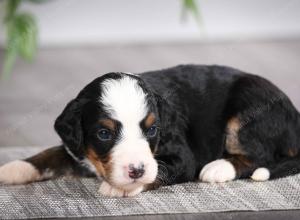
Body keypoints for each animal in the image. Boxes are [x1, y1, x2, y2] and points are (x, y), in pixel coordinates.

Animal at [0, 64, 300, 197]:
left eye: (152, 129)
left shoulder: (183, 157)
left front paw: (123, 187)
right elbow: (48, 155)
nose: (136, 170)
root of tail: (294, 115)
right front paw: (13, 169)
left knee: (260, 156)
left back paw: (218, 168)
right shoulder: (77, 148)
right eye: (104, 134)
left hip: (248, 109)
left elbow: (160, 171)